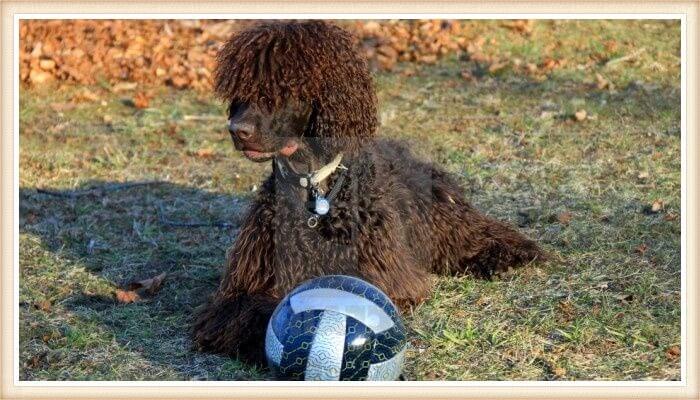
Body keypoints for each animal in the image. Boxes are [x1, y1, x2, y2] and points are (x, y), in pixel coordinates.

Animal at [193, 20, 548, 364]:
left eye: (284, 86)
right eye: (241, 86)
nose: (237, 130)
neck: (315, 190)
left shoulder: (383, 276)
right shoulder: (240, 289)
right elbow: (242, 313)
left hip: (443, 217)